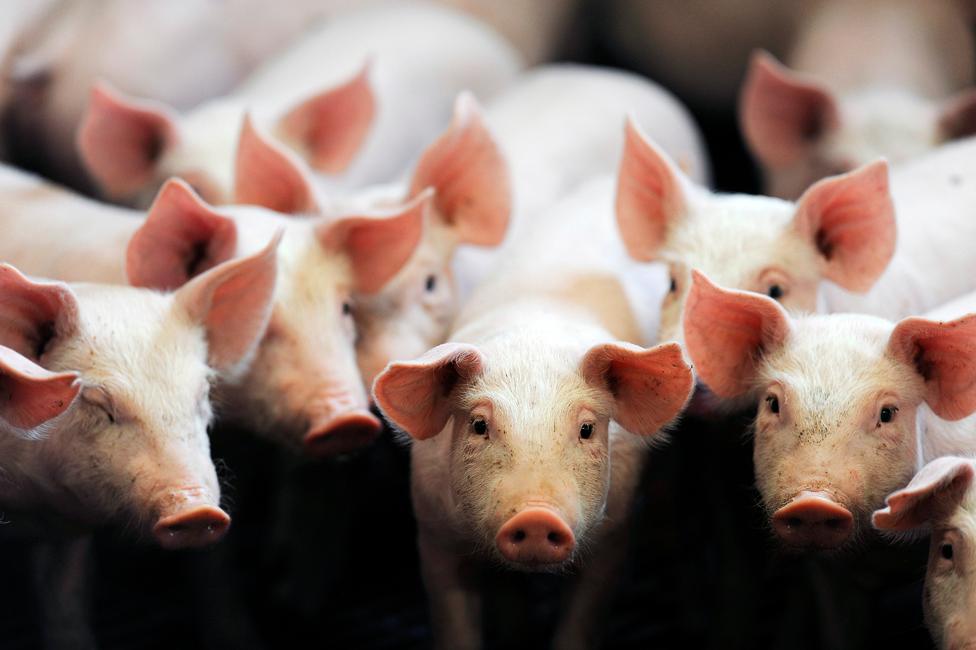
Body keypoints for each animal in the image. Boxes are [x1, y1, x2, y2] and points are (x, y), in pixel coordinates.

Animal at [373, 177, 694, 649]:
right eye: (479, 425)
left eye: (586, 429)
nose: (537, 516)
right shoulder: (434, 535)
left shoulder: (613, 536)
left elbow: (581, 622)